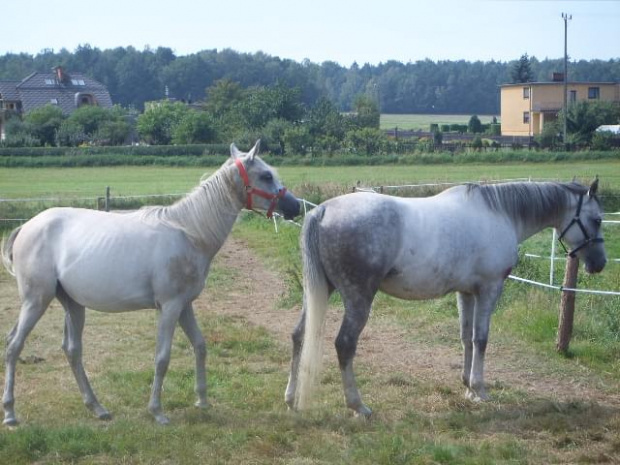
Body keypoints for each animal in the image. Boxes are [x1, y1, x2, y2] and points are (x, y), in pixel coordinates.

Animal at [0, 140, 300, 424]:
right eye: (265, 175)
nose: (295, 206)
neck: (189, 232)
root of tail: (26, 226)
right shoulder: (169, 307)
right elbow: (162, 358)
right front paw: (157, 412)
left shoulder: (185, 306)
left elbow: (200, 346)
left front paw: (202, 401)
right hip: (36, 301)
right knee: (14, 345)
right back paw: (11, 413)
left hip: (73, 304)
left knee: (72, 350)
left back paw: (97, 408)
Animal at [286, 179, 604, 416]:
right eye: (598, 219)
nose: (599, 264)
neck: (500, 214)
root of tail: (322, 211)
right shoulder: (490, 289)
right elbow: (481, 339)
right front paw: (480, 389)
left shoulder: (467, 293)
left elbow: (466, 338)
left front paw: (467, 387)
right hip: (358, 298)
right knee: (344, 345)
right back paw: (358, 406)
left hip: (320, 290)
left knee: (299, 335)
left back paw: (290, 398)